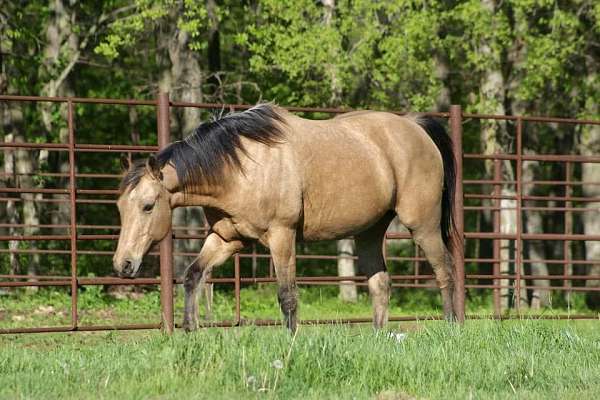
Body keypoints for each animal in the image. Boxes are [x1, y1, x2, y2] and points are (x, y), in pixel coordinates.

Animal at [113, 104, 454, 332]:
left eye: (147, 206)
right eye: (120, 207)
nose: (123, 264)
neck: (240, 166)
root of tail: (414, 126)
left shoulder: (282, 236)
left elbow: (287, 296)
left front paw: (291, 343)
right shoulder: (227, 239)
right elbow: (193, 276)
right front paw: (190, 331)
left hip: (423, 226)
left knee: (445, 272)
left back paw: (452, 327)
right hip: (369, 231)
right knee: (380, 284)